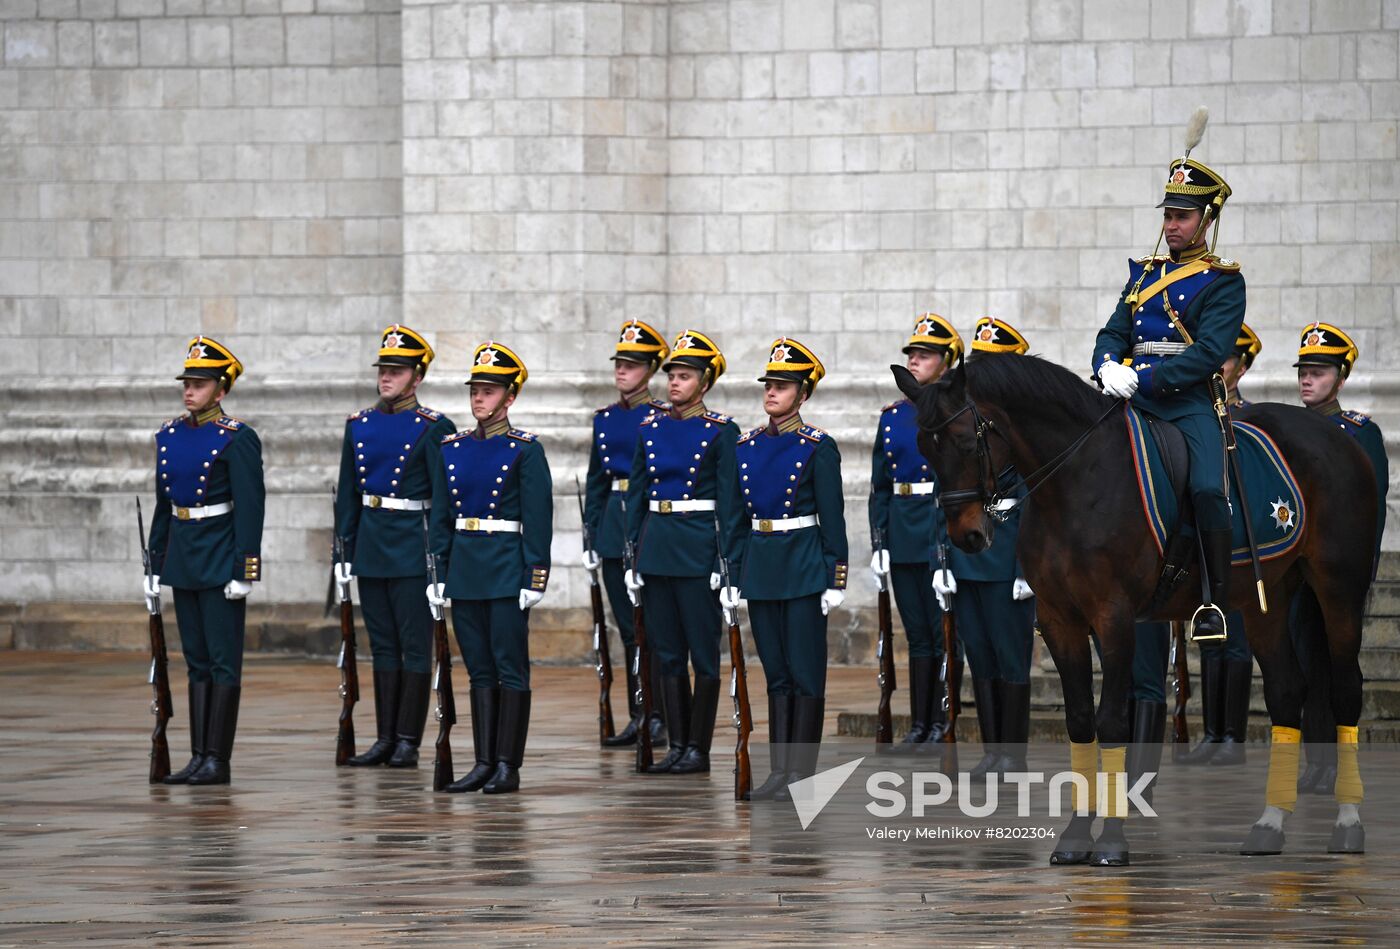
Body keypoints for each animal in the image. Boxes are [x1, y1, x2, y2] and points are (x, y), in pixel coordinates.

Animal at [896, 355, 1377, 867]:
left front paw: (1111, 840)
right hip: (1266, 597)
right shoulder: (1059, 621)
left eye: (967, 443)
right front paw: (1076, 835)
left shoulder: (1115, 618)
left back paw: (1348, 823)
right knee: (1287, 691)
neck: (1073, 482)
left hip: (1338, 587)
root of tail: (1334, 434)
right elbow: (1080, 720)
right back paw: (1269, 825)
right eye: (925, 449)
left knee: (1345, 688)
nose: (967, 537)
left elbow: (1113, 721)